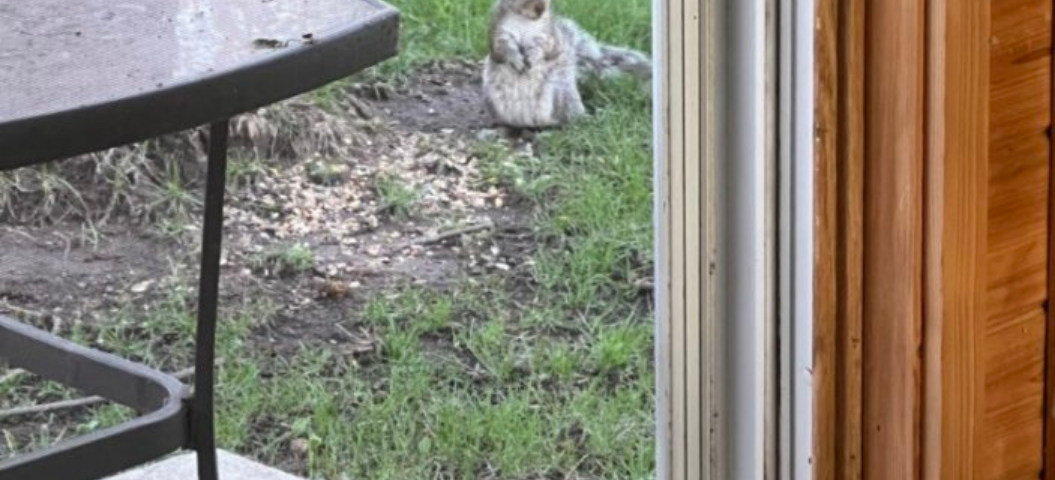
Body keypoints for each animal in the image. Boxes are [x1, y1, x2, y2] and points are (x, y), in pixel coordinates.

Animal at [483, 0, 649, 129]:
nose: (540, 8)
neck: (526, 20)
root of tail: (532, 123)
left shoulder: (549, 35)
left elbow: (546, 48)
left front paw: (534, 57)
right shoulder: (499, 31)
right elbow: (502, 49)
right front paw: (515, 59)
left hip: (563, 95)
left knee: (569, 117)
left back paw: (580, 121)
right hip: (493, 99)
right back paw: (496, 123)